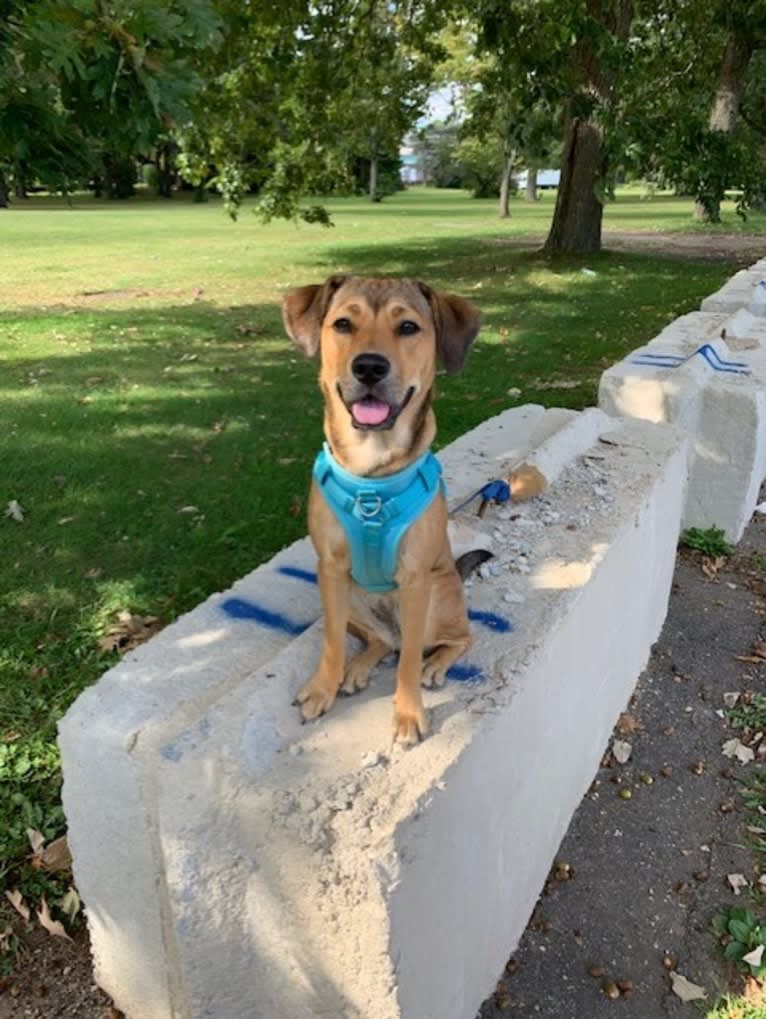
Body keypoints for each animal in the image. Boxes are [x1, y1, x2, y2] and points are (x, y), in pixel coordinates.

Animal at [285, 275, 480, 745]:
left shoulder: (415, 579)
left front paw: (408, 713)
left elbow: (407, 661)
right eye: (342, 324)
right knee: (376, 641)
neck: (371, 475)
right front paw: (323, 687)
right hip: (346, 598)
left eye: (408, 327)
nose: (369, 367)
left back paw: (436, 663)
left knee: (454, 638)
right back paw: (357, 668)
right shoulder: (329, 569)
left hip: (439, 599)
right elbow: (332, 643)